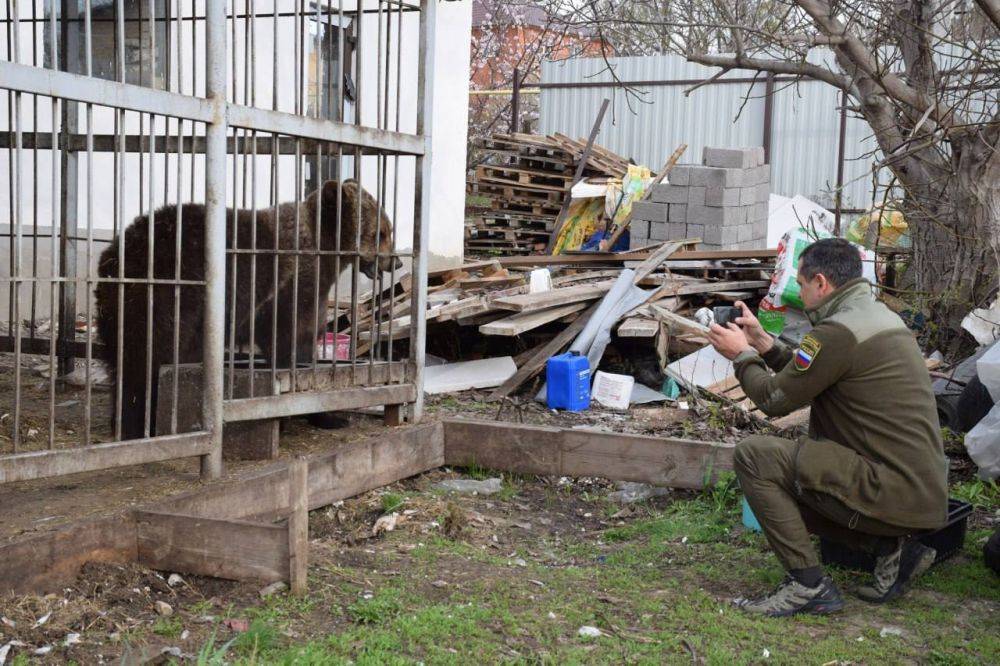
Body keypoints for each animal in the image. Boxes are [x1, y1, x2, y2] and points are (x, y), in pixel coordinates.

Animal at [94, 179, 398, 444]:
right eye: (379, 233)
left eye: (388, 229)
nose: (395, 262)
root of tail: (116, 256)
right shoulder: (291, 290)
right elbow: (294, 344)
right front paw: (324, 415)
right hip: (170, 297)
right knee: (153, 356)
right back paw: (143, 422)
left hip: (121, 309)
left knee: (126, 360)